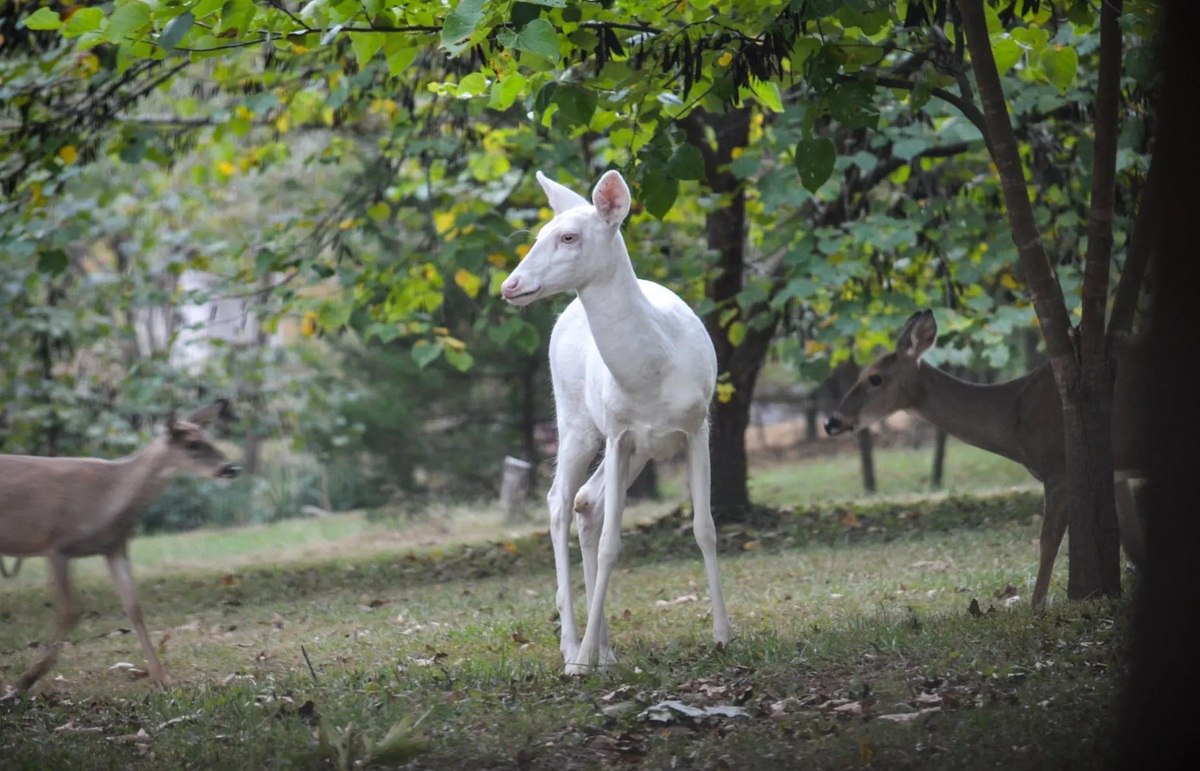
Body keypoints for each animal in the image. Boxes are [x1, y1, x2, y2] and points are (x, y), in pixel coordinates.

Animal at [1, 398, 241, 691]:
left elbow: (134, 607)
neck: (107, 498)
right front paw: (24, 681)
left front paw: (162, 678)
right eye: (192, 444)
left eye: (210, 438)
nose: (231, 468)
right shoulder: (57, 543)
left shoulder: (114, 547)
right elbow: (70, 611)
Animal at [499, 169, 729, 672]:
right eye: (537, 235)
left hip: (638, 450)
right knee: (559, 501)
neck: (654, 373)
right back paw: (573, 650)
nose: (510, 285)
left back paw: (603, 650)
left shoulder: (697, 425)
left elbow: (705, 528)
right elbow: (611, 544)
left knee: (587, 501)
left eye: (568, 236)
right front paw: (581, 658)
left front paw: (724, 636)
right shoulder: (619, 431)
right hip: (576, 423)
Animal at [820, 307, 1147, 605]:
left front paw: (1035, 607)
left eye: (875, 378)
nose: (832, 422)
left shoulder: (1059, 468)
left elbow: (1047, 542)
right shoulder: (1112, 471)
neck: (1013, 416)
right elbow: (1131, 542)